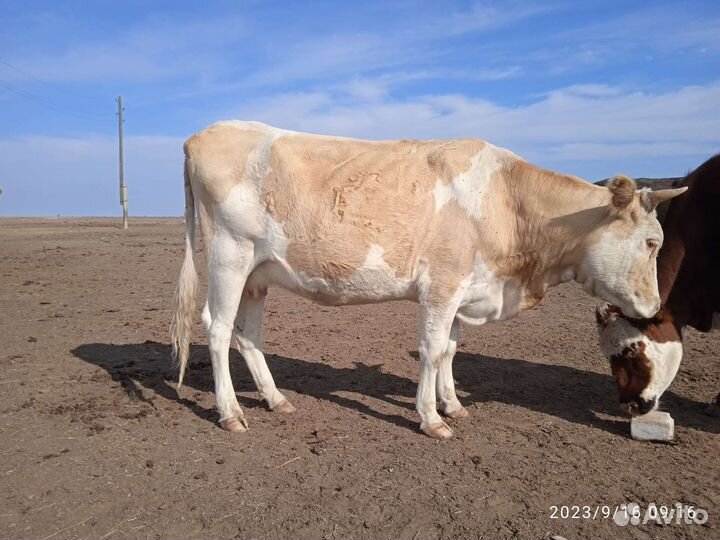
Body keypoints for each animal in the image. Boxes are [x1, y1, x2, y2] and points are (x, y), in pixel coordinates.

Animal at [171, 121, 686, 439]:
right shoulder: (442, 285)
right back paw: (231, 413)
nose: (653, 308)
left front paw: (452, 403)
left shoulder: (465, 290)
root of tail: (202, 135)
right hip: (229, 254)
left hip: (258, 273)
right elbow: (433, 350)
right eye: (650, 242)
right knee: (217, 329)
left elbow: (451, 350)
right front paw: (431, 418)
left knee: (248, 334)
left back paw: (276, 399)